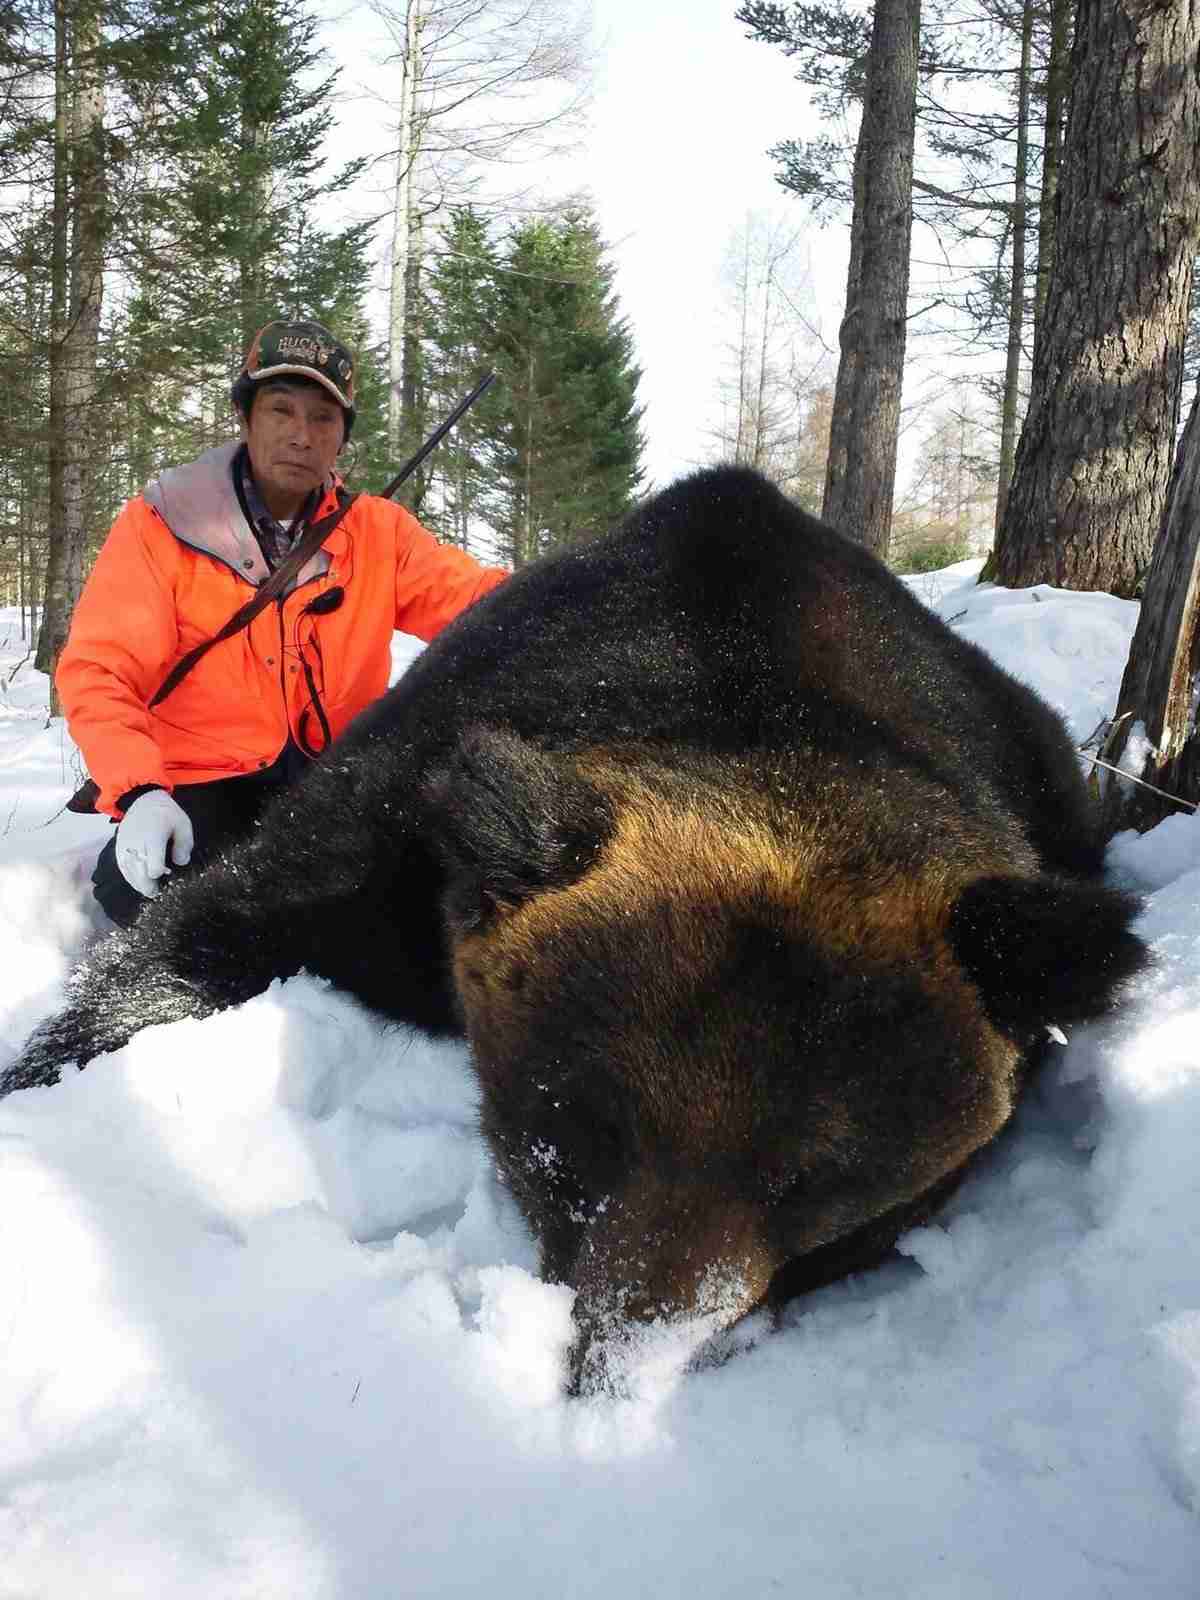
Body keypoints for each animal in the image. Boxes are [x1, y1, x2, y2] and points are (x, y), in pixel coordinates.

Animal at [2, 465, 1148, 1391]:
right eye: (590, 1123)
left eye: (818, 1178)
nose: (621, 1360)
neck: (744, 698)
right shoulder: (401, 817)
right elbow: (201, 937)